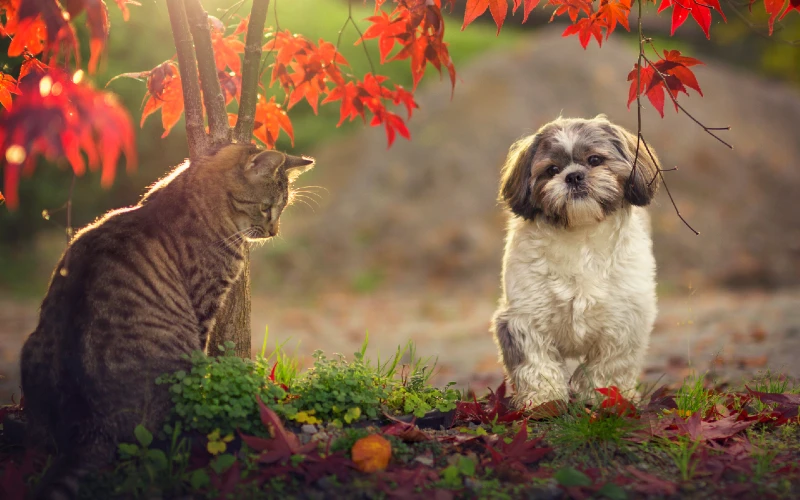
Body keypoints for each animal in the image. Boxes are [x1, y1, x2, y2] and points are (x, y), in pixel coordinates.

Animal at [18, 143, 312, 498]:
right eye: (267, 207)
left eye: (283, 208)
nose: (274, 231)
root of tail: (88, 428)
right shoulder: (205, 303)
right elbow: (205, 351)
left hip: (30, 352)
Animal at [490, 114, 660, 410]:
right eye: (551, 170)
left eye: (594, 160)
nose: (573, 175)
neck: (580, 235)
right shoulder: (523, 319)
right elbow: (536, 363)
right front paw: (544, 401)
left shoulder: (626, 320)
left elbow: (609, 364)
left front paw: (606, 396)